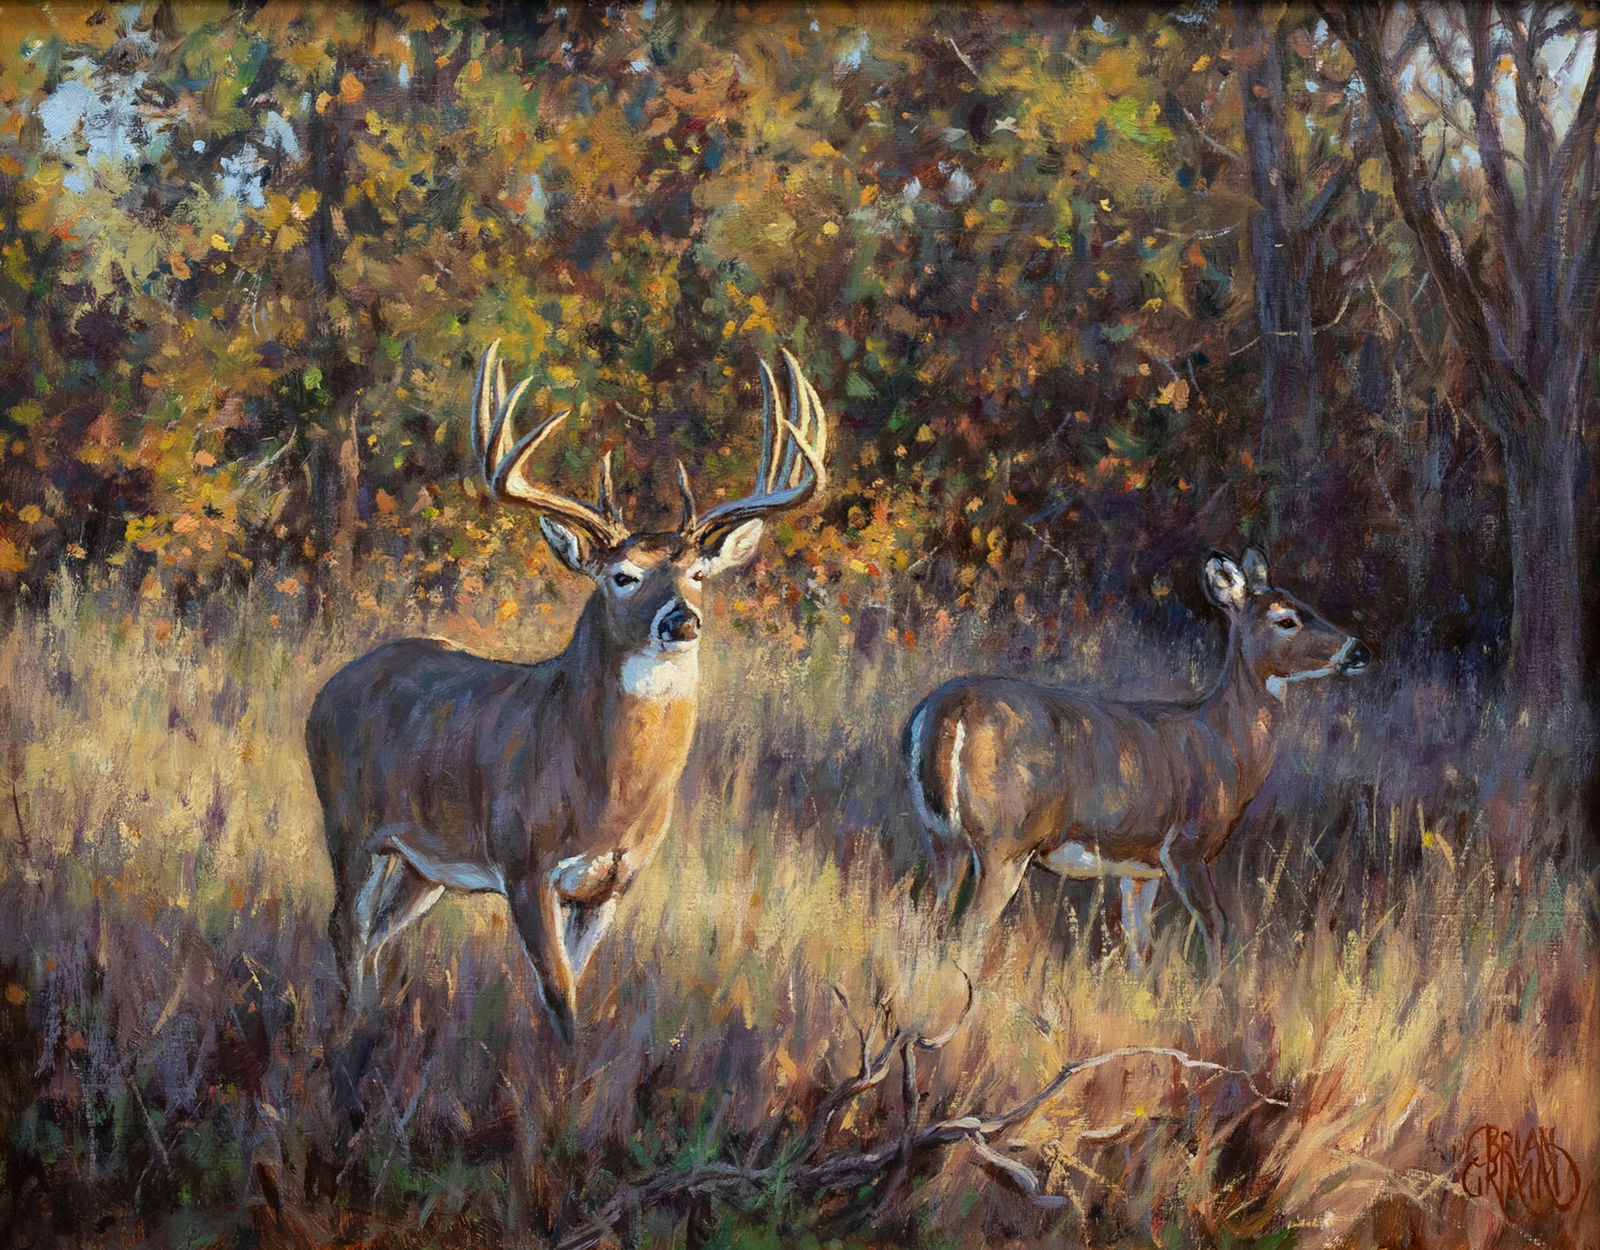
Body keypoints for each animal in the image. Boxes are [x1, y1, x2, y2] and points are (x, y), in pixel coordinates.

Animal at [305, 340, 827, 1046]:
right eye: (623, 576)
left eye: (698, 573)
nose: (683, 621)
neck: (605, 795)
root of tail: (332, 686)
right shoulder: (522, 864)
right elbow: (558, 996)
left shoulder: (611, 884)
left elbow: (574, 987)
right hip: (349, 821)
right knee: (345, 928)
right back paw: (346, 1033)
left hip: (423, 864)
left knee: (377, 934)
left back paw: (365, 1024)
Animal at [902, 547, 1368, 978]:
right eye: (1287, 620)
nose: (1359, 651)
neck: (1221, 742)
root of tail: (949, 706)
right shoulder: (1185, 846)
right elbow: (1216, 925)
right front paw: (1217, 998)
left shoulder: (1141, 867)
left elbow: (1139, 944)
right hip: (1006, 837)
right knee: (970, 928)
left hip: (940, 836)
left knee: (931, 920)